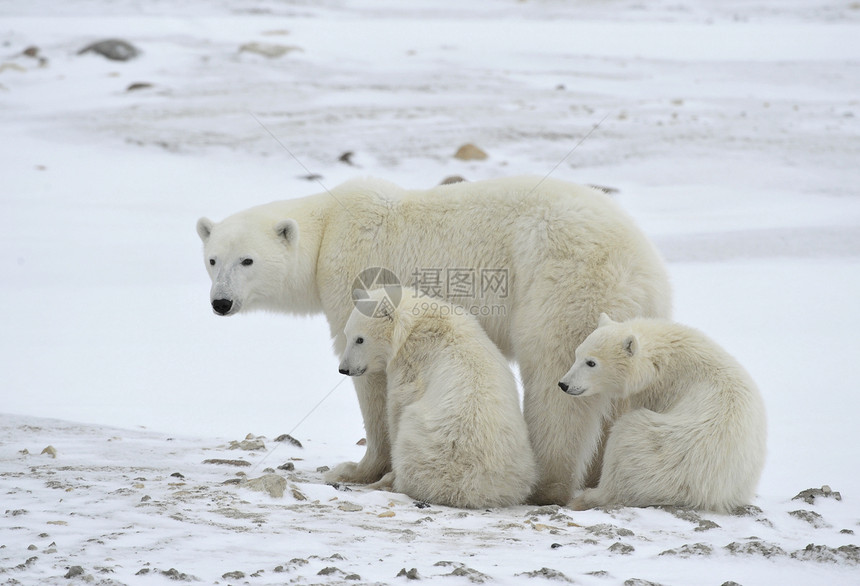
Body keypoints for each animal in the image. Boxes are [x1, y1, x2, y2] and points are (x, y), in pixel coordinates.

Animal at [338, 288, 536, 506]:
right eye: (347, 334)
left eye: (360, 339)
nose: (343, 369)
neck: (416, 324)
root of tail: (471, 488)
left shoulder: (413, 361)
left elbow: (399, 404)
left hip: (428, 444)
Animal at [556, 312, 764, 508]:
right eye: (577, 354)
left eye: (591, 362)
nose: (564, 384)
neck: (664, 358)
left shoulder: (663, 390)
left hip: (655, 449)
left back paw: (590, 495)